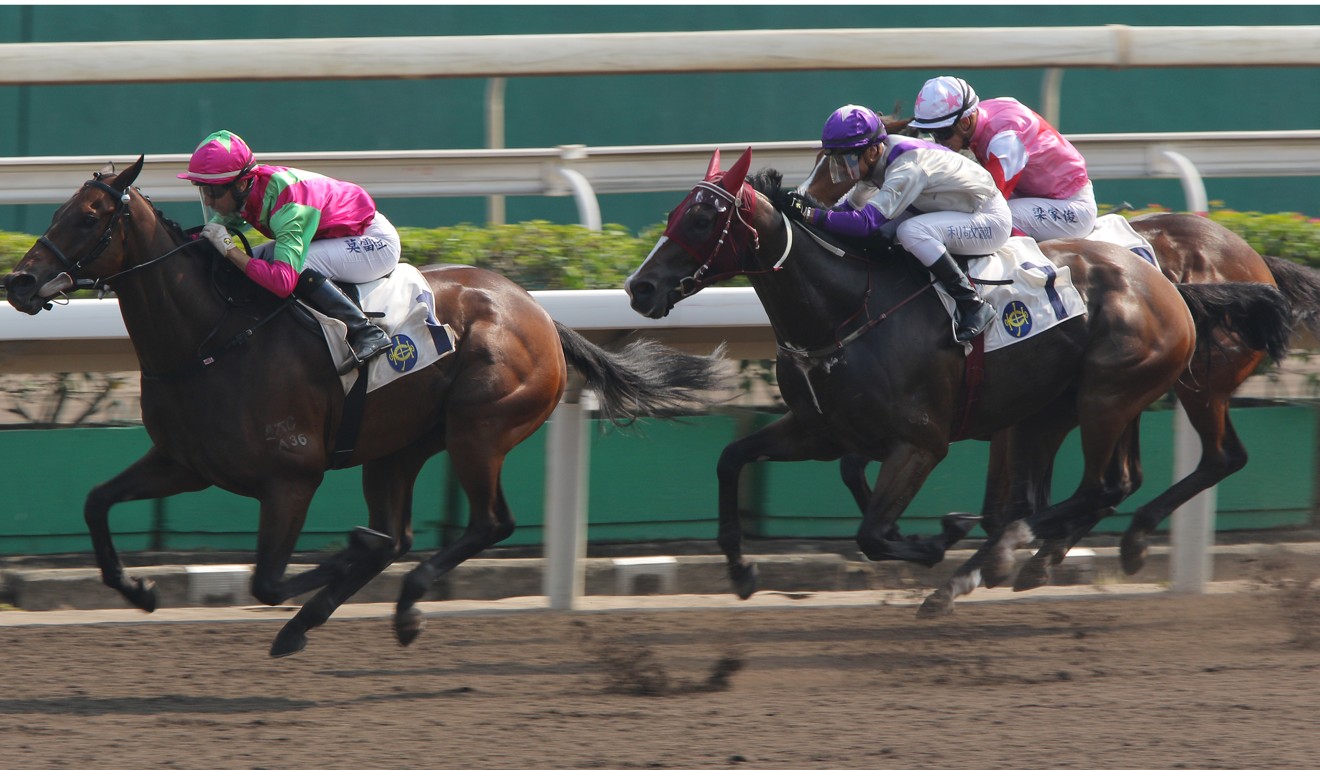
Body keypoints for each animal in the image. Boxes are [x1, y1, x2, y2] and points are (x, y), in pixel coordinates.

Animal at [2, 158, 723, 657]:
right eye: (59, 208)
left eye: (88, 217)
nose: (20, 280)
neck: (210, 337)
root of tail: (540, 314)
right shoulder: (184, 462)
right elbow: (96, 502)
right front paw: (140, 589)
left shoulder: (291, 477)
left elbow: (267, 581)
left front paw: (335, 560)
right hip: (397, 446)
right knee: (399, 535)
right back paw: (325, 616)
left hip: (479, 428)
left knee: (486, 524)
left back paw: (399, 606)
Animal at [625, 147, 1288, 612]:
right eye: (674, 211)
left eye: (704, 218)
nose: (640, 286)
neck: (848, 309)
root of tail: (1169, 286)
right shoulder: (822, 431)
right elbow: (733, 459)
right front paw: (741, 569)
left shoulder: (921, 443)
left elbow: (873, 531)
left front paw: (938, 539)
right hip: (1061, 406)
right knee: (1106, 485)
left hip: (1115, 394)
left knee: (1110, 485)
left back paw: (994, 563)